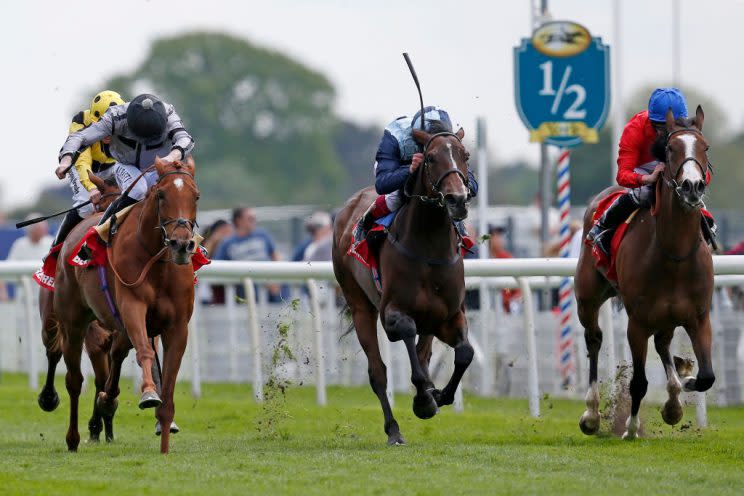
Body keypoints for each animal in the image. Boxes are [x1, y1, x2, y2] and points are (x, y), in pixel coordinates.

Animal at [54, 158, 201, 454]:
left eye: (196, 196)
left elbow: (168, 378)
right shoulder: (132, 309)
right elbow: (144, 352)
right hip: (72, 323)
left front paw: (165, 443)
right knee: (74, 380)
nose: (181, 244)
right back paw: (73, 438)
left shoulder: (176, 326)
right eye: (161, 195)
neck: (158, 262)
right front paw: (148, 393)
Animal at [332, 126, 474, 444]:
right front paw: (423, 401)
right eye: (430, 158)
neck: (429, 250)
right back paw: (394, 429)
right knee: (378, 373)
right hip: (359, 306)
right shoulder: (392, 314)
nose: (457, 199)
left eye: (466, 155)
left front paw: (439, 396)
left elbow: (465, 354)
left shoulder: (450, 316)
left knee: (424, 353)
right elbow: (409, 342)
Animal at [576, 106, 716, 440]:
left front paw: (683, 386)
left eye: (704, 147)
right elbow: (638, 381)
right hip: (587, 297)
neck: (674, 255)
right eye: (670, 148)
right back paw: (592, 414)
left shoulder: (699, 317)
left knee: (663, 344)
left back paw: (675, 397)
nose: (693, 186)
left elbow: (707, 376)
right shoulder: (637, 323)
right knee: (594, 339)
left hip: (667, 317)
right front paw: (630, 429)